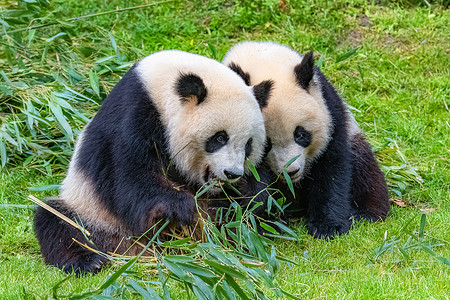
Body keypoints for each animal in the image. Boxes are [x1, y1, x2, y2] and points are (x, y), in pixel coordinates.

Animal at [33, 49, 272, 274]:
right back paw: (89, 261)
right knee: (58, 222)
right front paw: (180, 206)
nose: (232, 173)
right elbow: (129, 177)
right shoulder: (133, 114)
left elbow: (262, 195)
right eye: (220, 138)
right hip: (93, 212)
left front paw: (251, 193)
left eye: (248, 144)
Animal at [224, 41, 390, 239]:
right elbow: (251, 184)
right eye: (267, 144)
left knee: (365, 169)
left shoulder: (330, 110)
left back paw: (364, 213)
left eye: (300, 134)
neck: (262, 56)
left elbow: (331, 168)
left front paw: (327, 227)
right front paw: (262, 223)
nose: (291, 171)